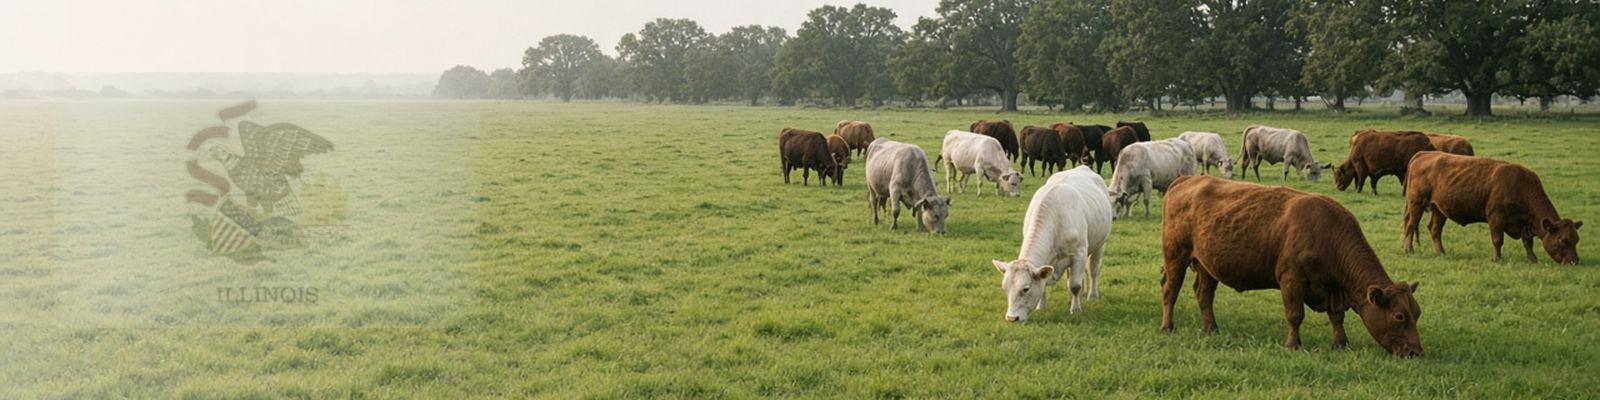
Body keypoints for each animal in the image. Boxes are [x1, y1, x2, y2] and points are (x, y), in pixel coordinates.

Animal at [992, 166, 1114, 322]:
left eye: (1025, 289)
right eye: (1005, 288)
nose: (1012, 318)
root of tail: (1083, 167)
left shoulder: (1079, 253)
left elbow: (1075, 285)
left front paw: (1076, 309)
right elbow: (1048, 284)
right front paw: (1041, 307)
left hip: (1100, 243)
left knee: (1093, 270)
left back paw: (1092, 295)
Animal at [1161, 175, 1424, 356]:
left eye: (1417, 313)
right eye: (1399, 316)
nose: (1416, 352)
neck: (1328, 234)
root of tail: (1187, 179)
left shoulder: (1332, 289)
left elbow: (1337, 317)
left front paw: (1341, 343)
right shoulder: (1292, 280)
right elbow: (1295, 315)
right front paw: (1293, 344)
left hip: (1207, 265)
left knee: (1204, 294)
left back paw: (1211, 328)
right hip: (1175, 256)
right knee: (1170, 290)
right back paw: (1167, 326)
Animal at [1403, 152, 1582, 265]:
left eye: (1576, 240)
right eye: (1564, 240)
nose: (1574, 262)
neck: (1520, 186)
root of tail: (1425, 154)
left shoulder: (1525, 223)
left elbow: (1527, 242)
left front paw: (1532, 259)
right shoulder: (1496, 217)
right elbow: (1497, 240)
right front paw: (1497, 259)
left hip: (1439, 210)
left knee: (1434, 230)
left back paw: (1441, 252)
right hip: (1416, 203)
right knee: (1410, 226)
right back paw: (1408, 250)